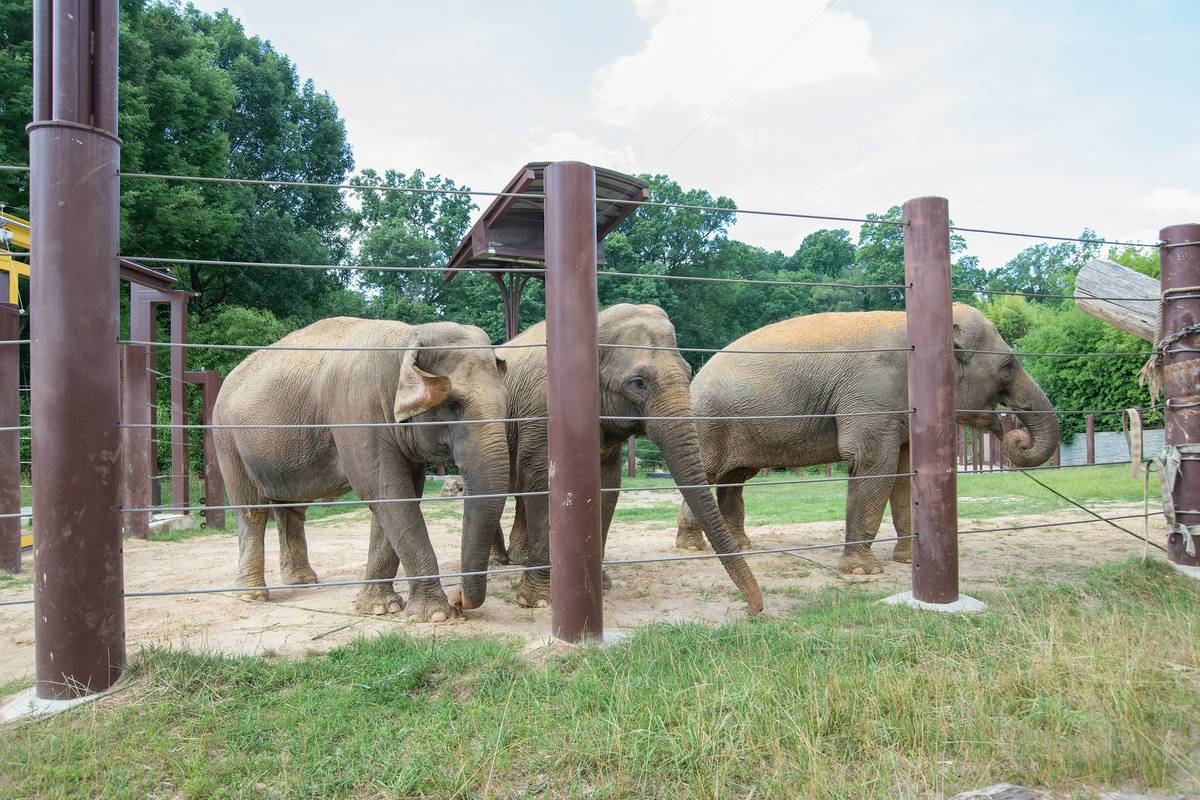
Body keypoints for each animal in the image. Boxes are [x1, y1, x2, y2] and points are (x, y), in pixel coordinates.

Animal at [213, 316, 508, 623]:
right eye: (453, 405)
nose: (458, 598)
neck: (409, 336)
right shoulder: (357, 410)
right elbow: (386, 491)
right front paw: (435, 615)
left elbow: (400, 494)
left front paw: (380, 608)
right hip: (227, 438)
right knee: (251, 509)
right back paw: (252, 595)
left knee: (292, 508)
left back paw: (302, 582)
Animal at [482, 303, 763, 618]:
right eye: (638, 383)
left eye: (689, 371)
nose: (753, 609)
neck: (597, 327)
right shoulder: (542, 411)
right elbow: (542, 482)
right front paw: (539, 600)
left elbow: (607, 484)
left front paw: (601, 586)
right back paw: (497, 562)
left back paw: (517, 558)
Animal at [676, 303, 1060, 573]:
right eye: (1008, 366)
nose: (1015, 436)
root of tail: (697, 377)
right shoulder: (871, 398)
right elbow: (873, 463)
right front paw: (862, 572)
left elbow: (904, 473)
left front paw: (907, 561)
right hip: (708, 423)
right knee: (708, 474)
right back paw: (693, 549)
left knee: (734, 479)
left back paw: (739, 546)